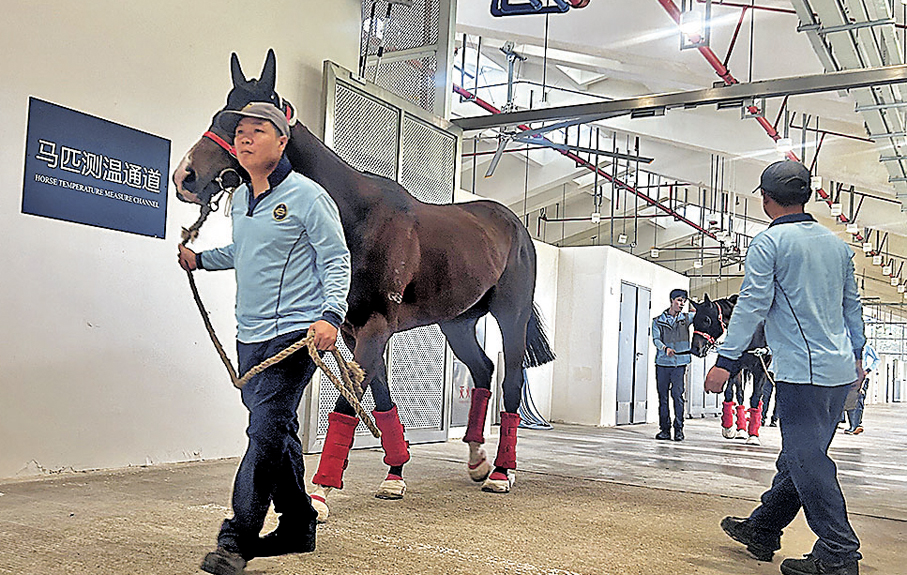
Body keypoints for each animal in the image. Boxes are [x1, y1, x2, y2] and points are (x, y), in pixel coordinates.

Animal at [171, 50, 555, 520]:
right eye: (220, 116)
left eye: (245, 124)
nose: (186, 177)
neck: (354, 215)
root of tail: (514, 224)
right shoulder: (352, 331)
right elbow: (380, 399)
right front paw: (395, 474)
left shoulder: (376, 326)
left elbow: (348, 406)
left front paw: (320, 494)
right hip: (458, 321)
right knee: (483, 369)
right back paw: (477, 459)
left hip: (510, 316)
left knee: (510, 380)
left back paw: (501, 471)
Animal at [690, 294, 772, 445]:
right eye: (693, 321)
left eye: (706, 319)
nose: (695, 349)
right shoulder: (733, 367)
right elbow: (730, 393)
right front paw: (728, 428)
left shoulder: (761, 370)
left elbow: (755, 398)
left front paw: (753, 436)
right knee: (740, 394)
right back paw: (741, 430)